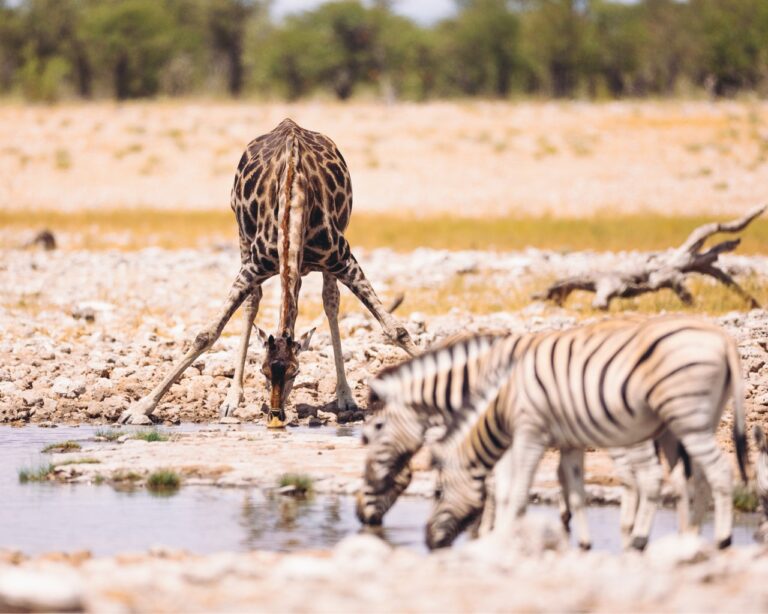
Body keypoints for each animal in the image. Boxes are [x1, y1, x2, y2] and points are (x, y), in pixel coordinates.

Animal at [118, 118, 417, 427]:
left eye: (296, 372)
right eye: (262, 370)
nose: (275, 415)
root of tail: (288, 122)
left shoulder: (344, 259)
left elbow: (396, 330)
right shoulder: (254, 265)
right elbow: (207, 333)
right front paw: (139, 407)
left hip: (333, 246)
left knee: (330, 301)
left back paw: (345, 396)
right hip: (242, 238)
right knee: (253, 302)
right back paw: (231, 399)